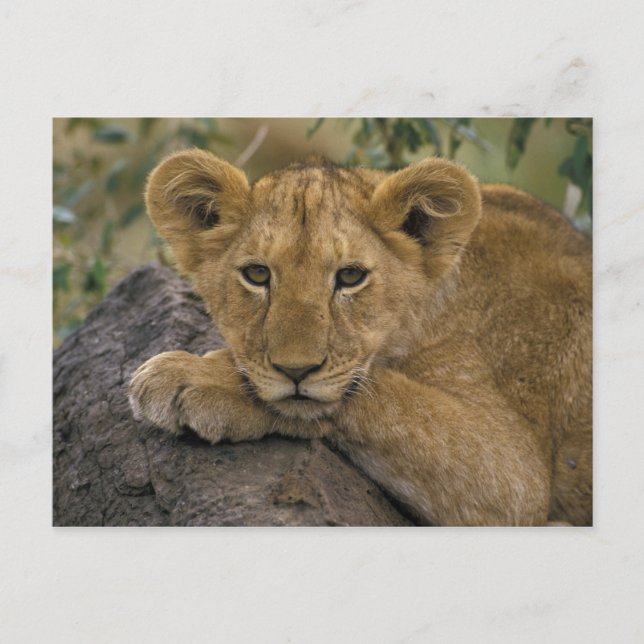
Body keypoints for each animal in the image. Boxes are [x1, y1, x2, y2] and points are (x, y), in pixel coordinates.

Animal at [129, 148, 592, 526]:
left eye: (351, 276)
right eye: (257, 274)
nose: (296, 371)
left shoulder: (513, 474)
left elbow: (388, 397)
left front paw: (195, 377)